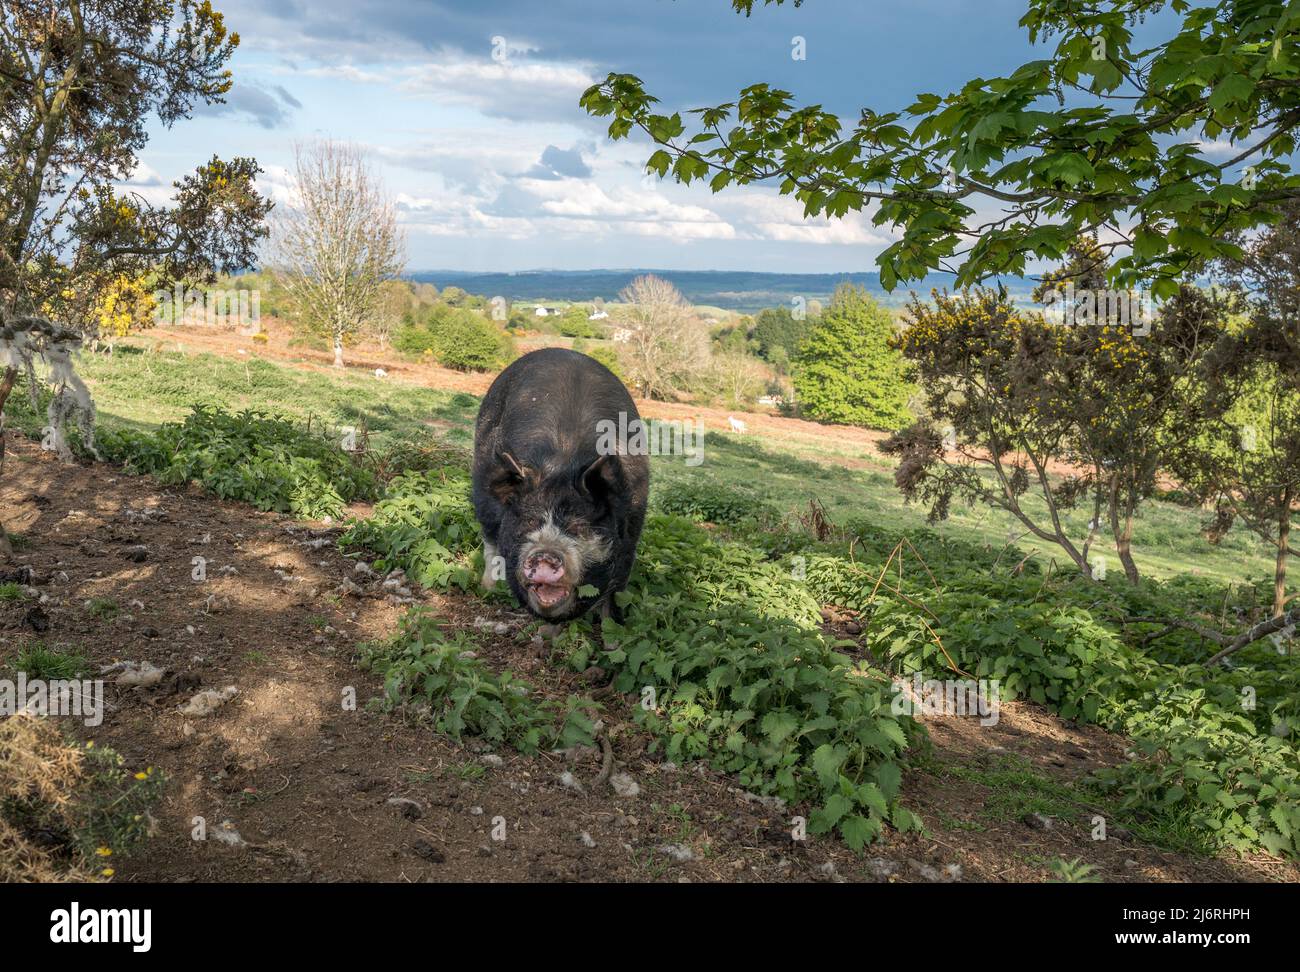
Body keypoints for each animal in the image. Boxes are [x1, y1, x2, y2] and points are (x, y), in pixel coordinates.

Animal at [472, 347, 650, 622]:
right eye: (529, 522)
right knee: (489, 536)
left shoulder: (633, 527)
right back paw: (487, 588)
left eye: (578, 526)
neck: (563, 462)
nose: (545, 555)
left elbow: (616, 592)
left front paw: (613, 630)